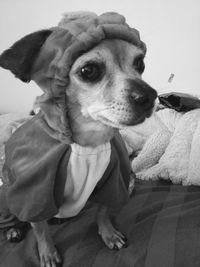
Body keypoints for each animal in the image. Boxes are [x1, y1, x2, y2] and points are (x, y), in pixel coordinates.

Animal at [0, 11, 157, 266]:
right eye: (89, 70)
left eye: (140, 63)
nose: (150, 96)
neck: (88, 143)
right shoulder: (33, 192)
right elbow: (40, 230)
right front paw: (48, 253)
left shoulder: (111, 182)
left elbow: (103, 212)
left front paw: (108, 234)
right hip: (5, 196)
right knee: (15, 219)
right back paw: (13, 229)